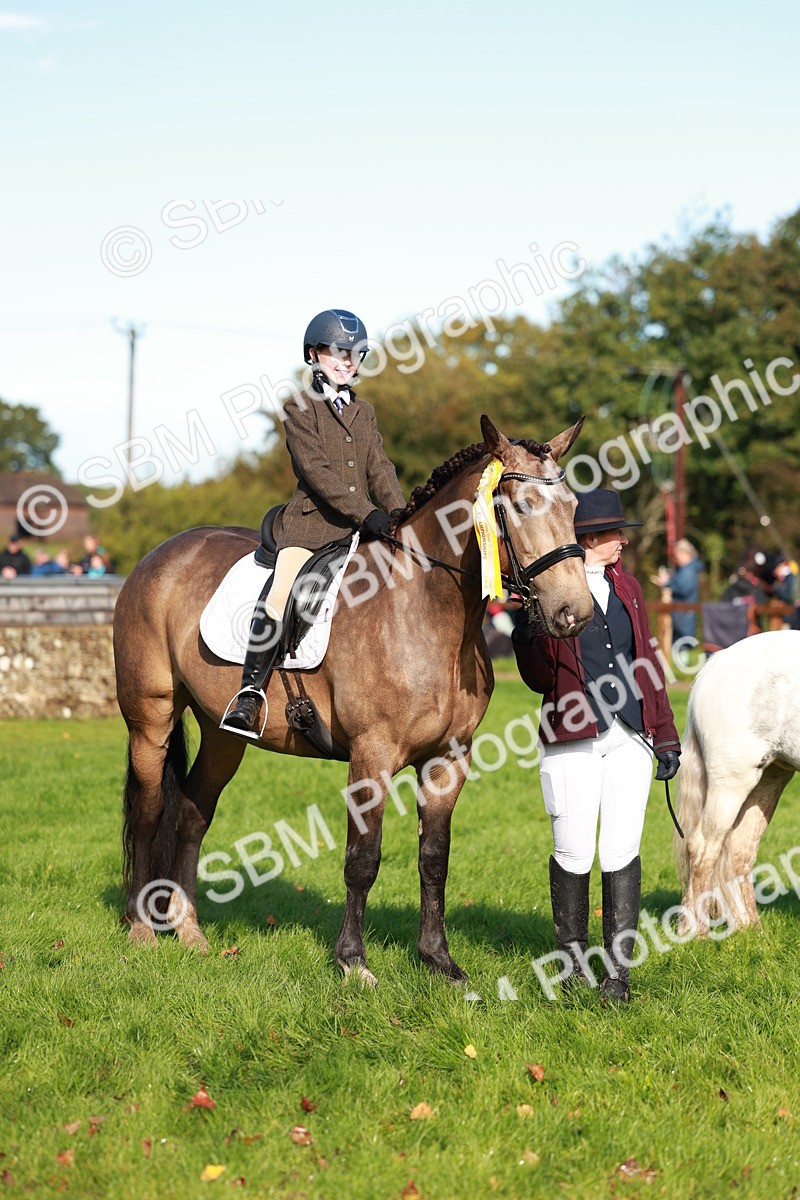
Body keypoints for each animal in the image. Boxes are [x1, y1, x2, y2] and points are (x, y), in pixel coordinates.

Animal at [115, 414, 594, 985]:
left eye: (572, 506)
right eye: (520, 506)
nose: (575, 613)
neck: (424, 607)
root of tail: (159, 555)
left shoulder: (448, 759)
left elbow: (435, 858)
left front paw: (439, 961)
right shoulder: (372, 756)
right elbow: (362, 860)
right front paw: (353, 962)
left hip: (222, 734)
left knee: (190, 812)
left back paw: (190, 932)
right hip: (151, 719)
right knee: (148, 812)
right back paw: (141, 930)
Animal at [676, 629, 800, 934]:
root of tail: (715, 664)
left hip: (768, 781)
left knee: (738, 852)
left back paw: (751, 930)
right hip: (730, 784)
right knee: (702, 848)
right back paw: (698, 935)